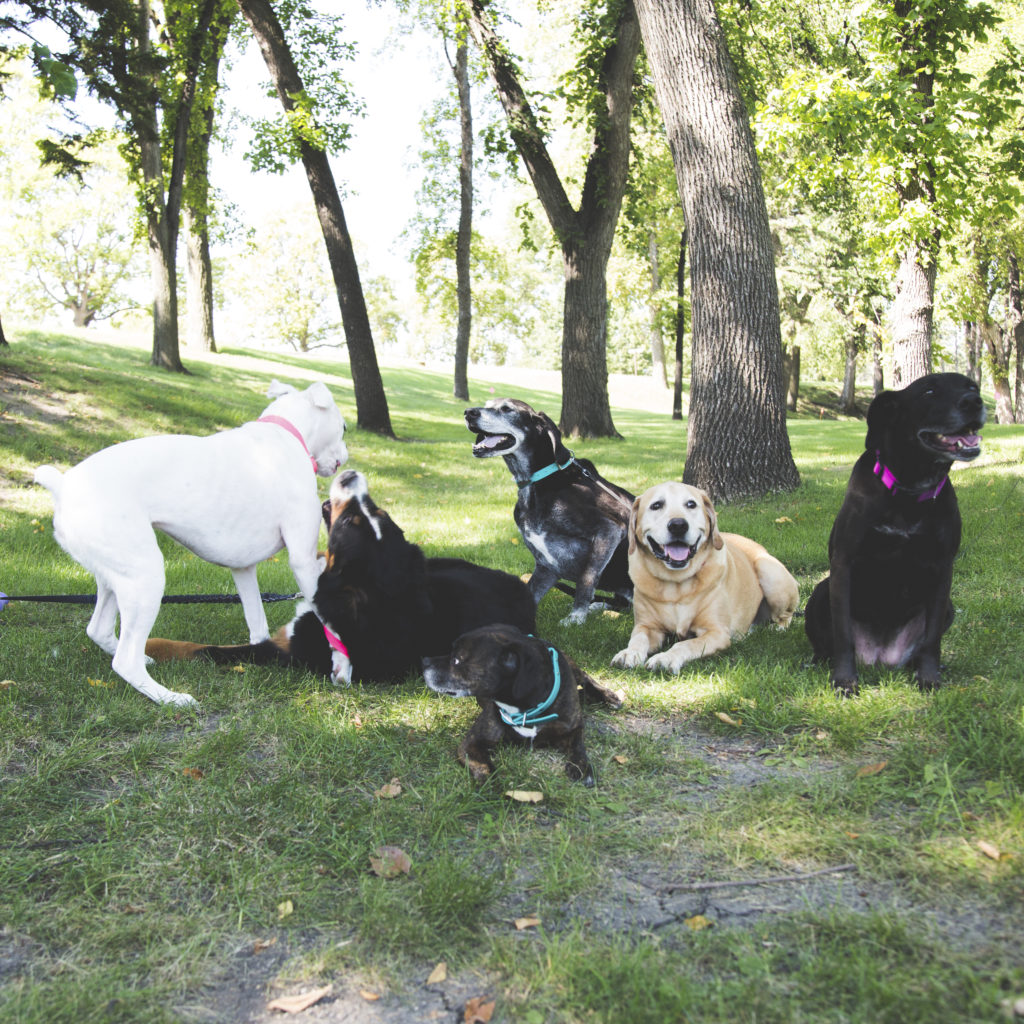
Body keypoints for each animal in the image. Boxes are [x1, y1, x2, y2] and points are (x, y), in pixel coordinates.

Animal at [36, 380, 350, 708]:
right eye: (344, 427)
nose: (346, 455)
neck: (285, 434)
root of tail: (63, 485)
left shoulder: (244, 570)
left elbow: (256, 620)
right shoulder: (303, 562)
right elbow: (327, 619)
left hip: (117, 578)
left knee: (99, 629)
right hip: (145, 577)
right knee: (125, 661)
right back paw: (171, 698)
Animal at [146, 473, 536, 688]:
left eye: (350, 523)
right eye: (379, 511)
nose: (350, 475)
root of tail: (522, 589)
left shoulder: (284, 651)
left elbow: (204, 649)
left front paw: (149, 646)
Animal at [423, 622, 622, 782]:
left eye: (456, 660)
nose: (424, 660)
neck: (526, 709)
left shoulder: (573, 728)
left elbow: (578, 747)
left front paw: (581, 767)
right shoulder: (471, 743)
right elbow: (484, 768)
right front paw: (494, 787)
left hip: (570, 665)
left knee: (586, 678)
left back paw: (608, 696)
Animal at [464, 397, 630, 622]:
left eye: (507, 409)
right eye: (487, 404)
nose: (468, 412)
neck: (537, 482)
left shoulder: (609, 529)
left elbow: (586, 578)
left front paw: (577, 617)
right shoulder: (546, 567)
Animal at [802, 374, 987, 696]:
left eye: (972, 387)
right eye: (929, 391)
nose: (974, 402)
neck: (910, 491)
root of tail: (879, 658)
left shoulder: (942, 571)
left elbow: (932, 638)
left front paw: (929, 677)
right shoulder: (844, 564)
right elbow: (843, 635)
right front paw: (845, 680)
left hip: (948, 606)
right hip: (821, 591)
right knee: (828, 643)